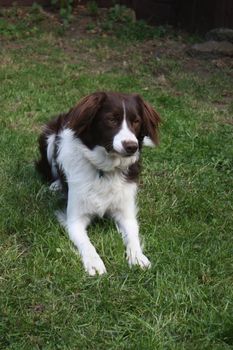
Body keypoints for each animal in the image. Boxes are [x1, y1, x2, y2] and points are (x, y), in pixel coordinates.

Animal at [36, 92, 160, 276]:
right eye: (111, 119)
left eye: (136, 121)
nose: (132, 146)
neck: (105, 170)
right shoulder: (74, 220)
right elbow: (86, 243)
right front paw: (94, 263)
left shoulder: (126, 213)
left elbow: (133, 236)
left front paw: (138, 257)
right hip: (49, 138)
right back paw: (56, 185)